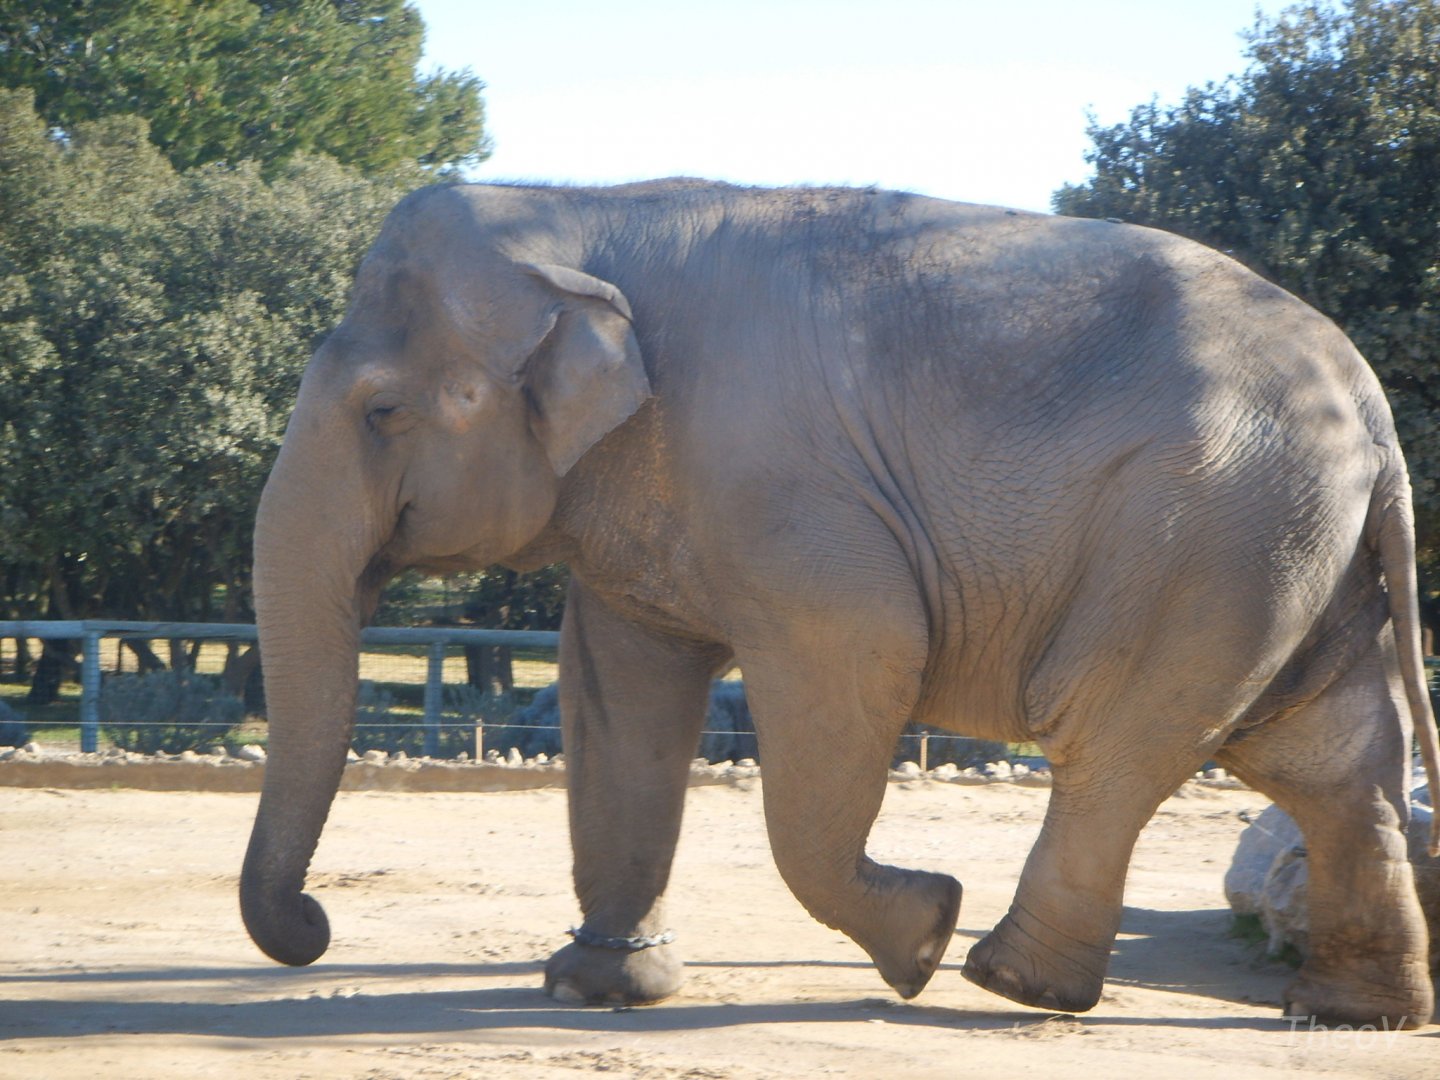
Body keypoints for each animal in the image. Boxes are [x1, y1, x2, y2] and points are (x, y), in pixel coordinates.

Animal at [240, 178, 1440, 1029]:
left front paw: (921, 937)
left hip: (1209, 534)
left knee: (1114, 742)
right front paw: (600, 989)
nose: (316, 923)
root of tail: (1377, 415)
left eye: (383, 411)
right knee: (1329, 763)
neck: (577, 213)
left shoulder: (793, 497)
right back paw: (1349, 1015)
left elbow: (860, 653)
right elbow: (620, 693)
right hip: (1292, 550)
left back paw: (1006, 981)